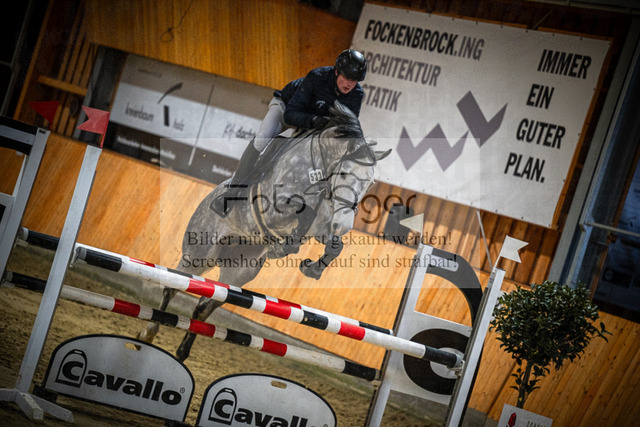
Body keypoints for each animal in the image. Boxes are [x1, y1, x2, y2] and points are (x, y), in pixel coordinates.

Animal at [137, 102, 390, 361]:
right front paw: (287, 246)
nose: (345, 224)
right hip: (199, 255)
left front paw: (312, 268)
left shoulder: (323, 225)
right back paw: (148, 334)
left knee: (205, 306)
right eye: (345, 173)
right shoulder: (275, 206)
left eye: (370, 183)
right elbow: (304, 210)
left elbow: (335, 245)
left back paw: (182, 353)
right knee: (172, 287)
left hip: (240, 272)